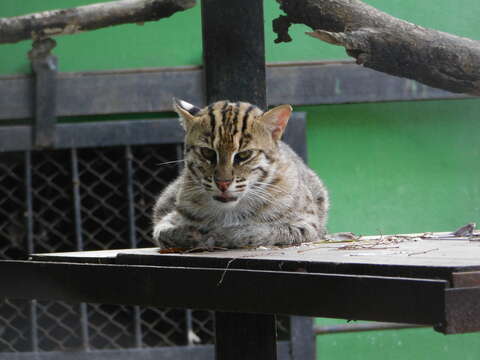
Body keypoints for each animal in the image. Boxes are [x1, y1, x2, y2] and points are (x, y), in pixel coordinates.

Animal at [152, 98, 328, 250]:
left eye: (244, 155)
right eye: (207, 152)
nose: (222, 183)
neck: (229, 210)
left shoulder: (307, 224)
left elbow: (258, 231)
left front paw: (222, 234)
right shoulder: (166, 219)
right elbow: (162, 231)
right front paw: (190, 235)